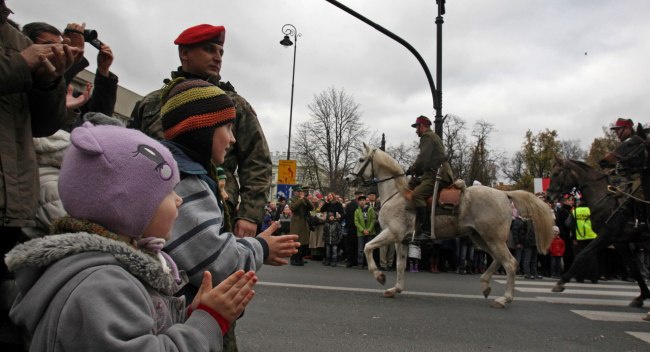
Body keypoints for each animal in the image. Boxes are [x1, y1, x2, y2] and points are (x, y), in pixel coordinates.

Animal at [344, 143, 552, 308]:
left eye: (361, 159)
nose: (347, 179)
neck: (397, 194)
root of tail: (504, 194)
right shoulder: (401, 240)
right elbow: (401, 265)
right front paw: (395, 289)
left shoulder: (392, 233)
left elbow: (368, 247)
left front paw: (379, 276)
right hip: (480, 238)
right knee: (497, 259)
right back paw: (485, 285)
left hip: (492, 238)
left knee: (510, 263)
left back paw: (504, 299)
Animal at [548, 158, 648, 306]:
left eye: (556, 173)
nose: (548, 196)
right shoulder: (617, 241)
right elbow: (633, 266)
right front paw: (642, 296)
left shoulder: (607, 236)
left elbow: (582, 255)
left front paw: (561, 282)